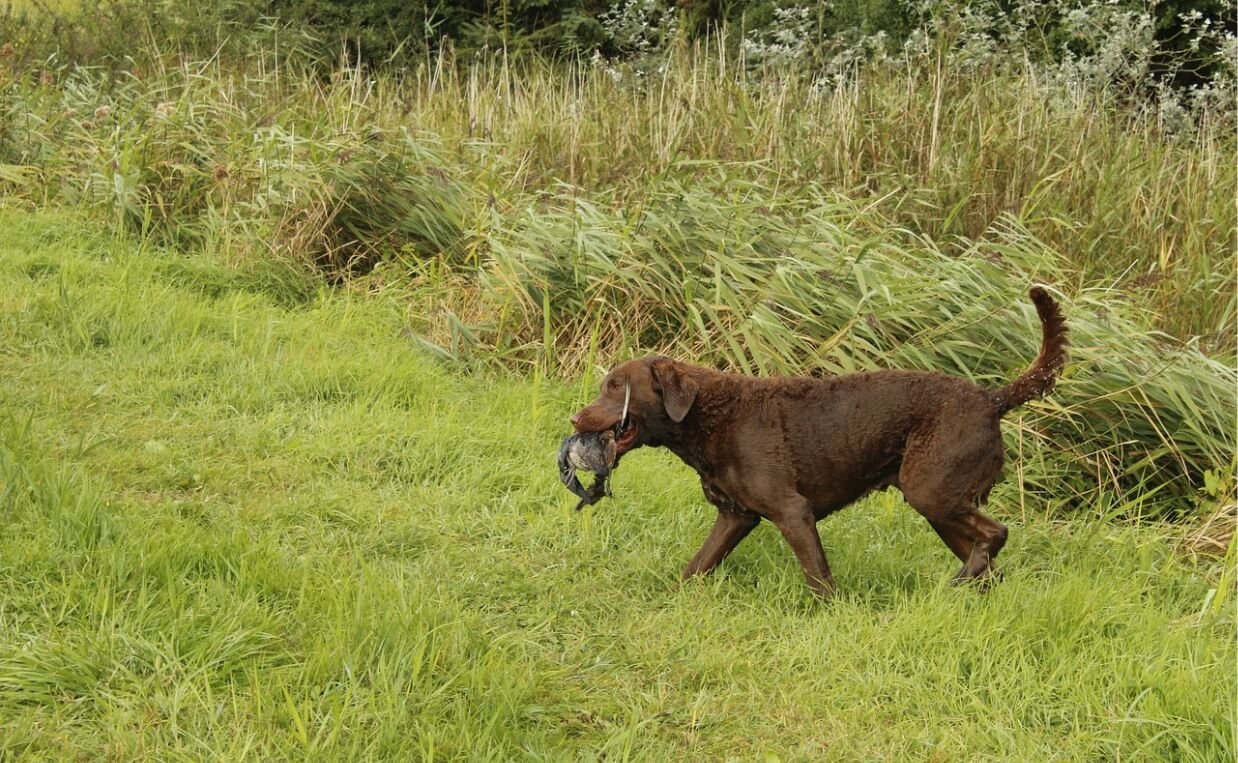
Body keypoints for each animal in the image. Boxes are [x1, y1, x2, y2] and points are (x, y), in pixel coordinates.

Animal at [567, 286, 1064, 597]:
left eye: (615, 386)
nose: (575, 416)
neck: (709, 415)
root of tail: (990, 399)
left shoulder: (793, 512)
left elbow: (819, 578)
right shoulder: (734, 517)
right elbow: (697, 566)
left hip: (932, 491)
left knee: (997, 534)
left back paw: (958, 583)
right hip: (942, 505)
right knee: (989, 560)